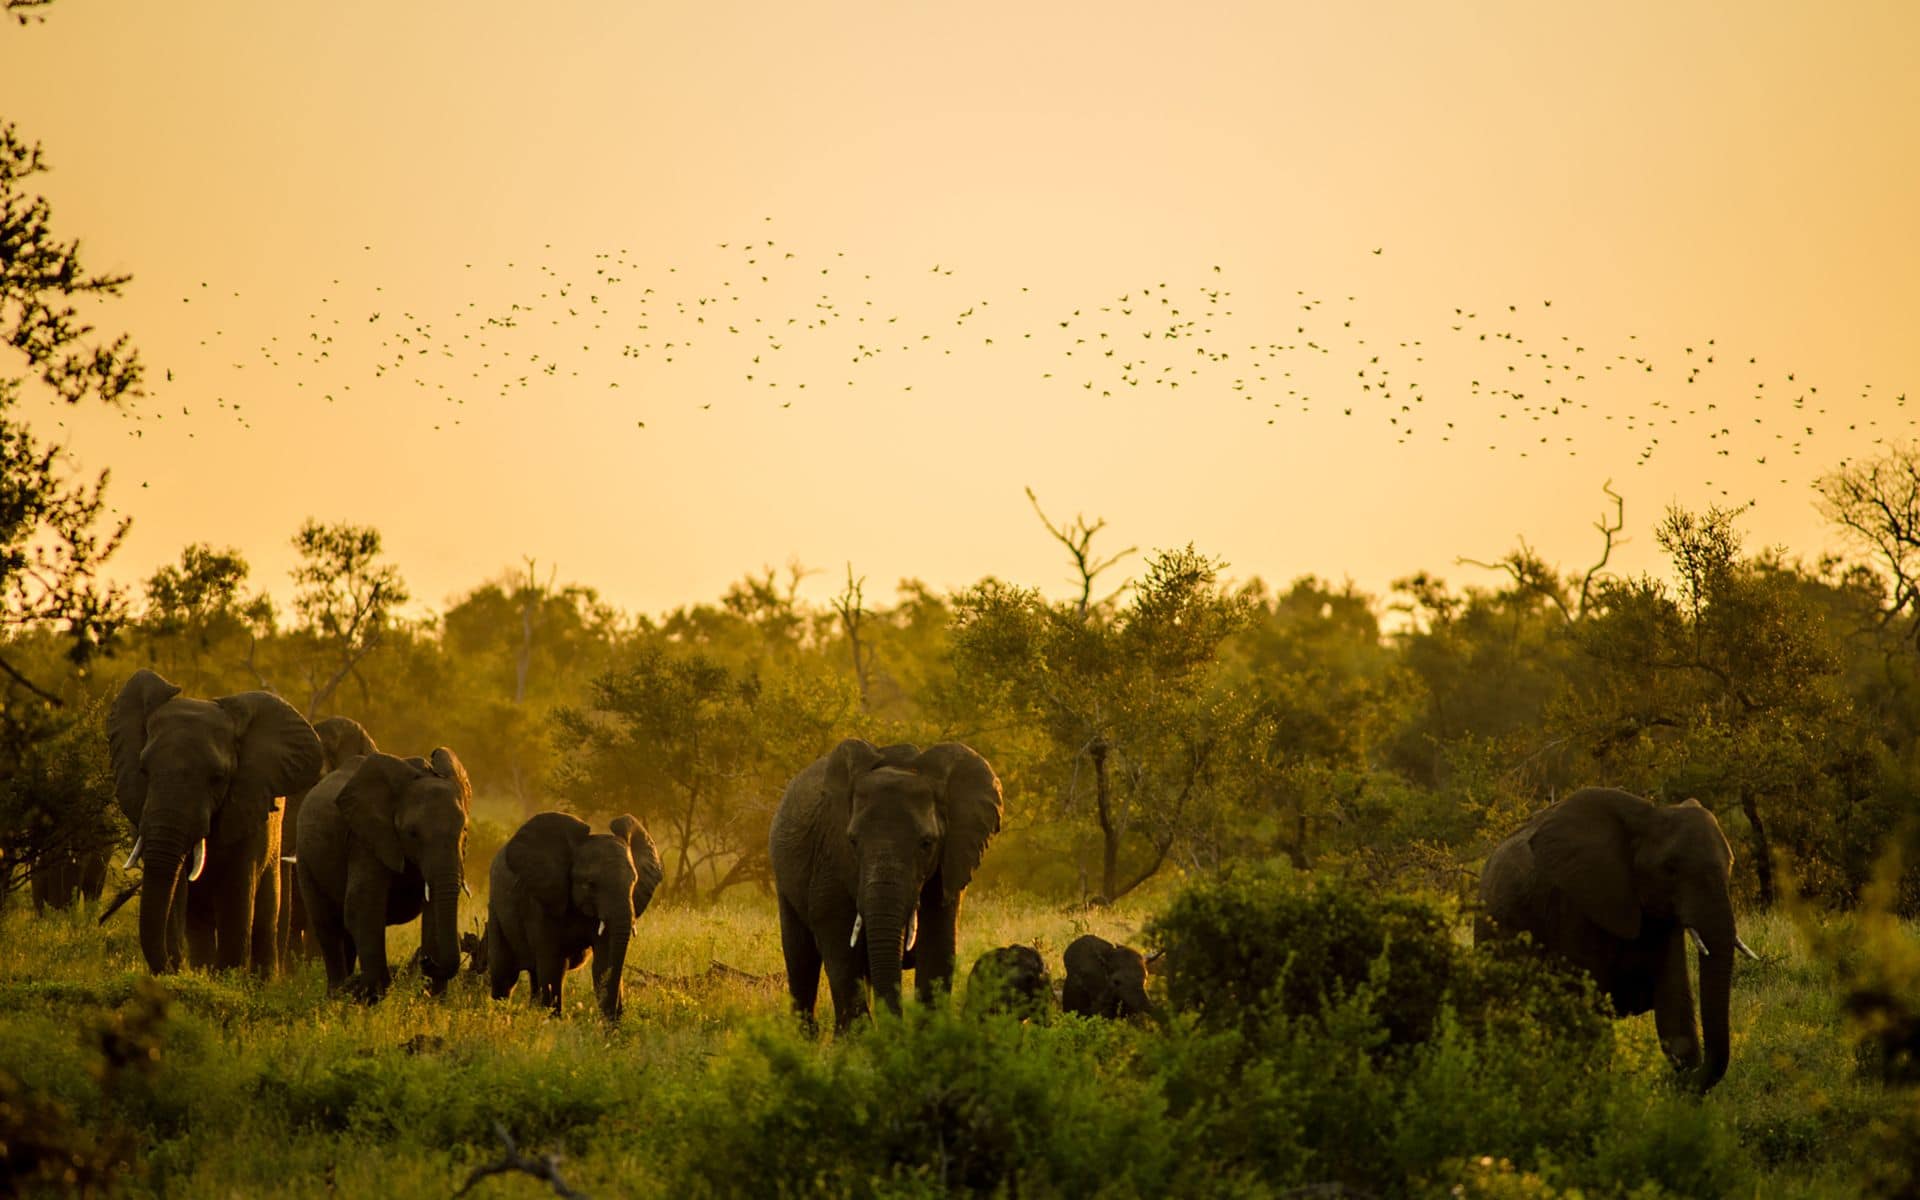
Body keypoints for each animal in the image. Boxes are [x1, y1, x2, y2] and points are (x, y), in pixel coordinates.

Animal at [108, 669, 324, 976]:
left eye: (218, 778)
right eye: (143, 770)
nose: (174, 968)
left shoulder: (247, 807)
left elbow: (237, 892)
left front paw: (229, 978)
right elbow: (176, 890)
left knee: (264, 916)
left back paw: (260, 980)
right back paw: (205, 969)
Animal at [296, 748, 472, 1000]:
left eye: (464, 829)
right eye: (412, 833)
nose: (426, 960)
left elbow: (433, 910)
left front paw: (434, 999)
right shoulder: (365, 838)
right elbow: (363, 905)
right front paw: (369, 995)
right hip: (305, 857)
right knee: (327, 923)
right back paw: (338, 993)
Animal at [485, 811, 664, 1020]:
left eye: (634, 882)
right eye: (590, 884)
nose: (617, 1018)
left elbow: (604, 963)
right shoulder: (541, 901)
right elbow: (552, 964)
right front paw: (553, 1022)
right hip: (495, 909)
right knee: (504, 974)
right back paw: (500, 1015)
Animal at [770, 739, 1003, 1031]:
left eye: (927, 844)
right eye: (852, 841)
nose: (897, 1029)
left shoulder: (948, 864)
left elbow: (937, 948)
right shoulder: (830, 857)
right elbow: (839, 947)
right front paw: (861, 1039)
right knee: (801, 958)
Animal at [1477, 787, 1759, 1091]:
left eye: (1731, 863)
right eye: (1670, 868)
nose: (1669, 1083)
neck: (1649, 816)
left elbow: (1673, 1004)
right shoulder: (1576, 905)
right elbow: (1587, 1013)